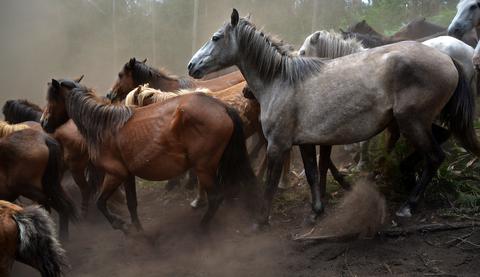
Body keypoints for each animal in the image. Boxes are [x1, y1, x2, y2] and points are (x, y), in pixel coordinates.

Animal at [41, 78, 258, 232]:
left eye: (51, 99)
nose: (44, 123)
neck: (104, 126)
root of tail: (222, 107)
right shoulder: (127, 175)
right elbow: (132, 204)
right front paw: (138, 231)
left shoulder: (115, 174)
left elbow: (101, 203)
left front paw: (121, 225)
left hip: (204, 167)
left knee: (215, 197)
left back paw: (202, 228)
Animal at [189, 8, 480, 225]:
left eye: (216, 37)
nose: (192, 66)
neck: (280, 81)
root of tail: (447, 59)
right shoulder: (306, 142)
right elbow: (311, 174)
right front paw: (316, 210)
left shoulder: (277, 145)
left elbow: (271, 183)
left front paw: (260, 221)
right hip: (416, 122)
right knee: (440, 140)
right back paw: (402, 172)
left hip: (412, 122)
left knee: (435, 156)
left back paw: (408, 204)